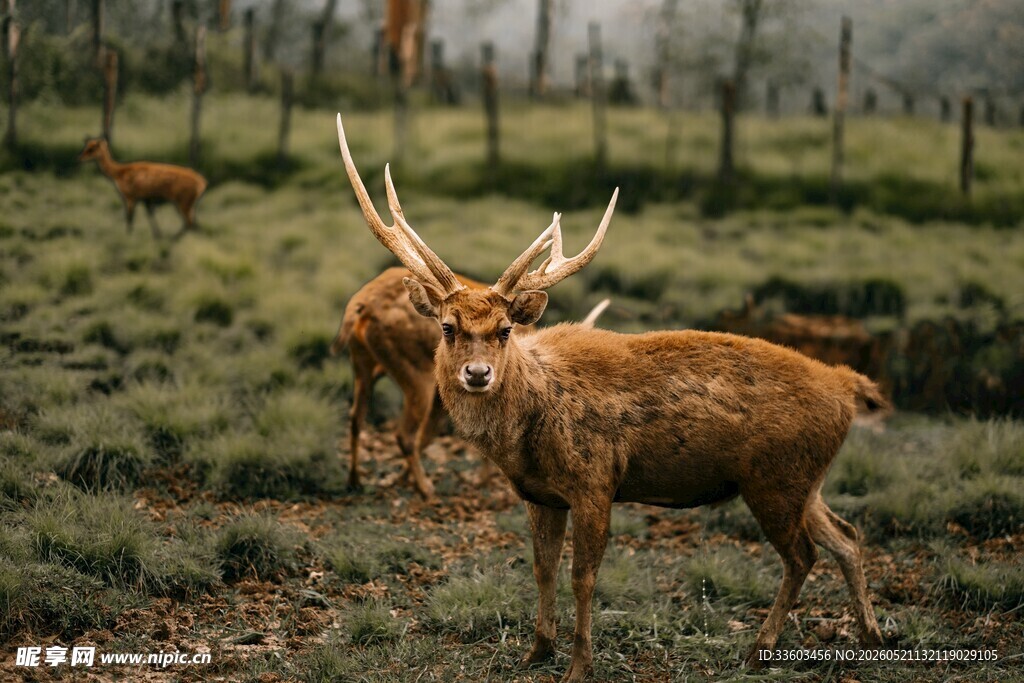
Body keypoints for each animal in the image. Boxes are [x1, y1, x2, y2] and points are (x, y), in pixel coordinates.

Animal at [78, 137, 208, 239]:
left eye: (92, 148)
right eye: (86, 146)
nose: (80, 158)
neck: (120, 172)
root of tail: (202, 182)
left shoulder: (131, 198)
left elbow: (130, 217)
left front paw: (129, 235)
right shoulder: (146, 199)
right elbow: (149, 215)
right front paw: (157, 235)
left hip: (183, 203)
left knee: (190, 223)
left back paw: (173, 239)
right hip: (186, 204)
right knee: (192, 224)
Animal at [332, 266, 610, 498]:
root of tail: (361, 305)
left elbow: (431, 434)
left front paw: (400, 478)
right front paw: (481, 480)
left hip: (363, 363)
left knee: (356, 418)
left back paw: (355, 480)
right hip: (414, 371)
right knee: (403, 433)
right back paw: (426, 489)